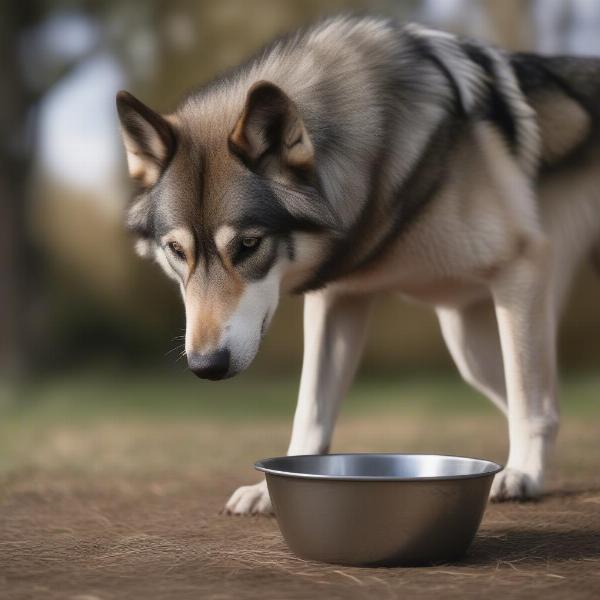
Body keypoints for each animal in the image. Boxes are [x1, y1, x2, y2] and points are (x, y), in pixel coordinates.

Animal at [116, 17, 600, 516]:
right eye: (177, 251)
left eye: (249, 245)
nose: (206, 365)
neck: (376, 161)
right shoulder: (337, 299)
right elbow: (310, 408)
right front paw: (272, 488)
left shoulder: (522, 266)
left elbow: (529, 400)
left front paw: (523, 473)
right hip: (470, 349)